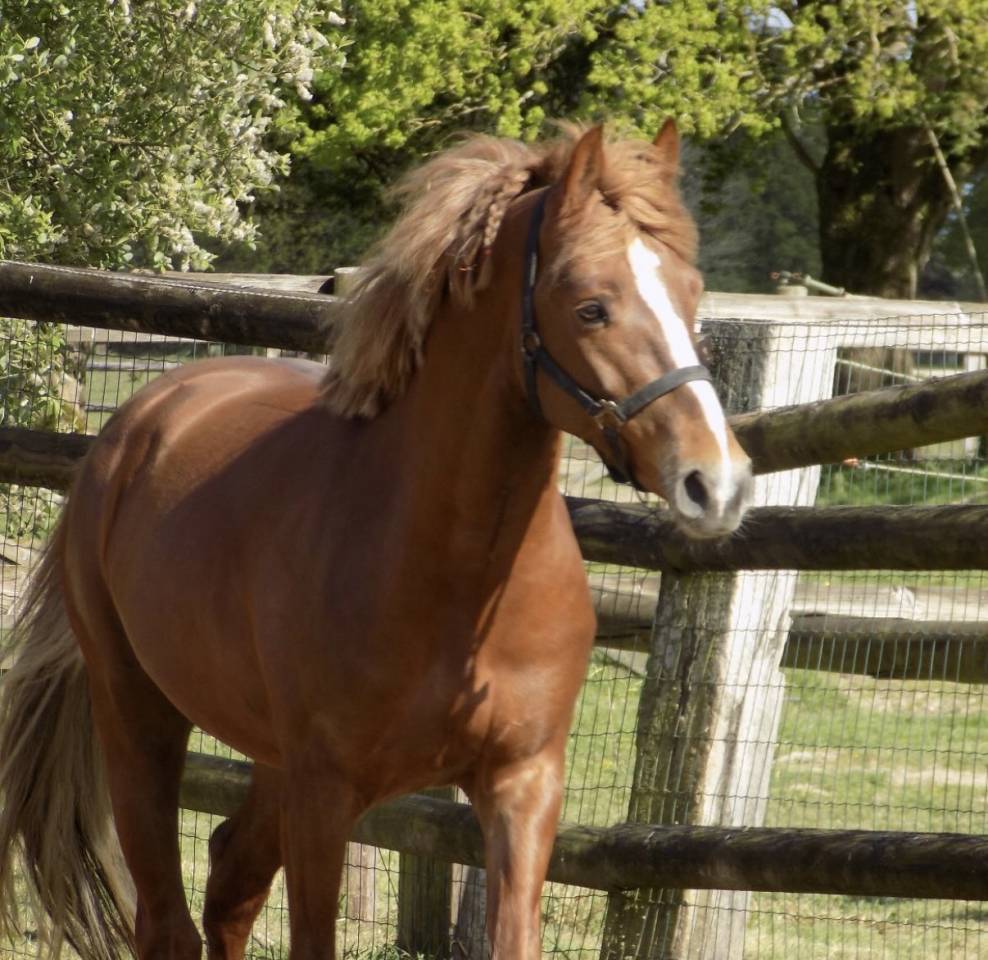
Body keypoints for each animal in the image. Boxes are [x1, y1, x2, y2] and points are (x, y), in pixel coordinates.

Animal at [0, 122, 752, 960]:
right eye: (592, 307)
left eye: (692, 296)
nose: (716, 481)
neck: (455, 581)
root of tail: (132, 428)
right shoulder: (325, 795)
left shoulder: (523, 783)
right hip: (138, 715)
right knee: (168, 921)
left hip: (266, 760)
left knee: (230, 878)